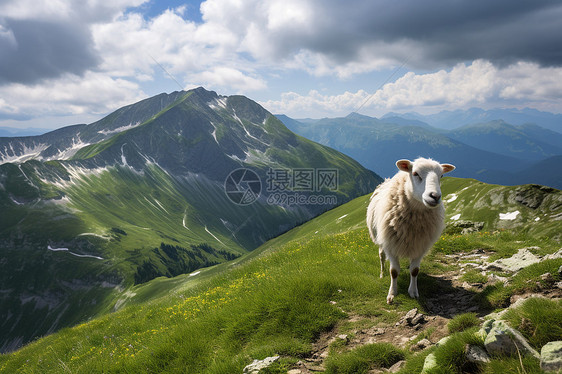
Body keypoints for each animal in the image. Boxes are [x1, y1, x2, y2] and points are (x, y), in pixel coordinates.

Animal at [366, 158, 452, 304]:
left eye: (441, 176)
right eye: (415, 173)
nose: (435, 196)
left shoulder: (421, 245)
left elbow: (415, 270)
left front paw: (413, 291)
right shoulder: (390, 245)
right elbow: (394, 271)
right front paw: (392, 293)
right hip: (381, 240)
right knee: (381, 257)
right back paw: (382, 274)